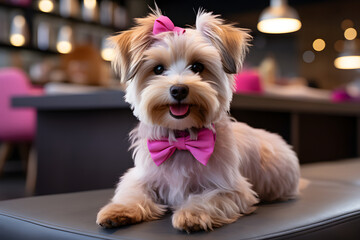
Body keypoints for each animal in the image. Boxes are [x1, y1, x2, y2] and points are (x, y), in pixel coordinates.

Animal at [95, 7, 298, 232]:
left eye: (197, 67)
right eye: (158, 69)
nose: (178, 89)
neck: (181, 138)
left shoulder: (232, 189)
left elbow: (209, 197)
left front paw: (192, 214)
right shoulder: (141, 175)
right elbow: (133, 191)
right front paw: (119, 210)